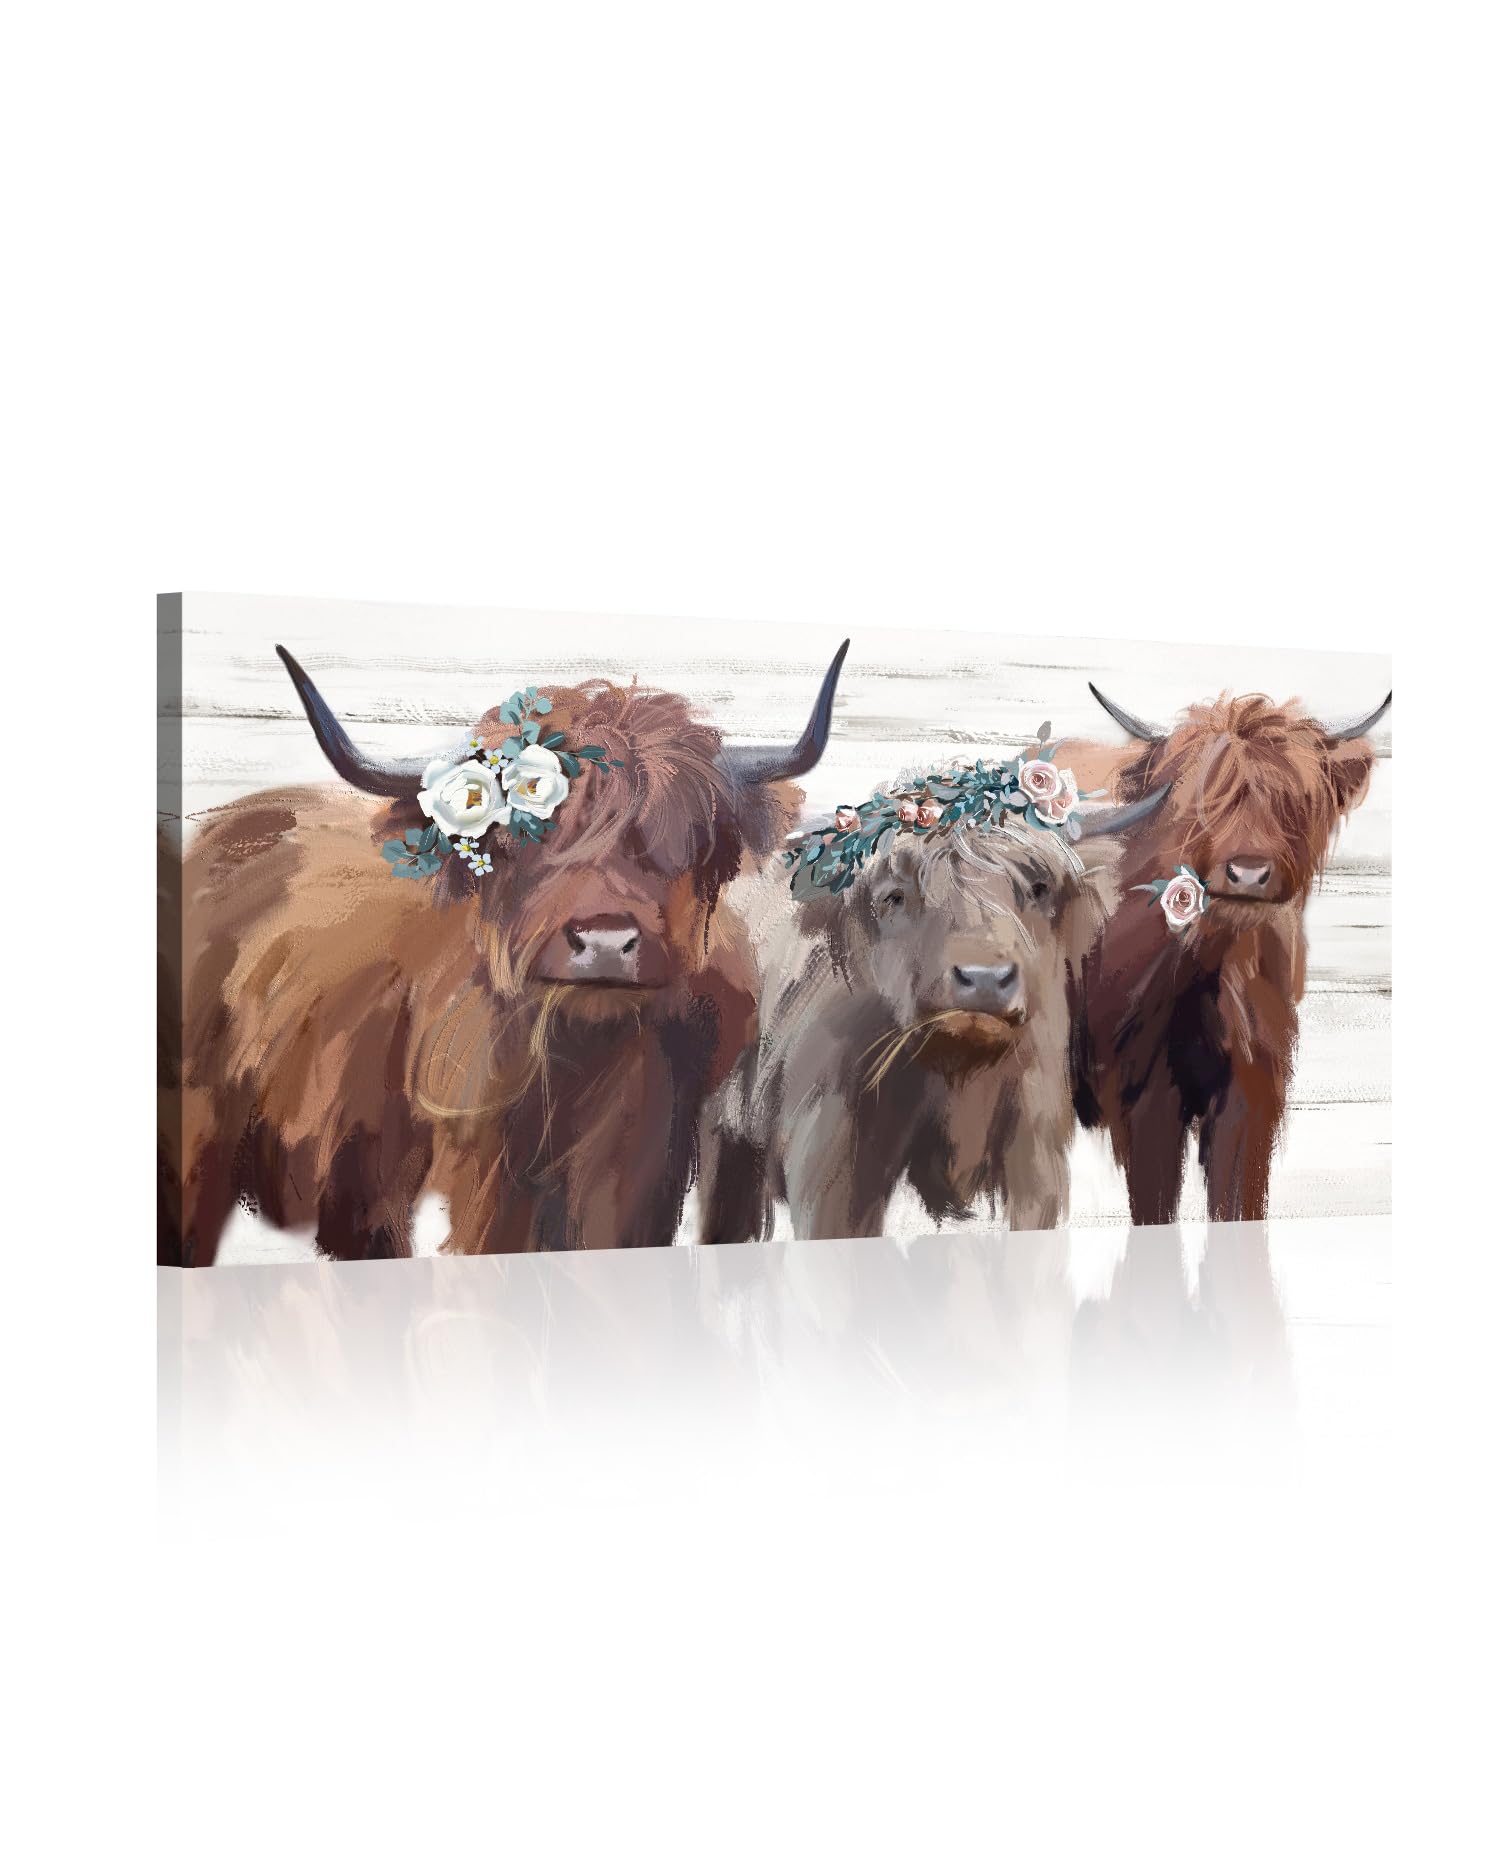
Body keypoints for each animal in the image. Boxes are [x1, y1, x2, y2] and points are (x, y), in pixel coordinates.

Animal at [160, 639, 848, 1263]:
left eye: (678, 839)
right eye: (522, 838)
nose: (604, 942)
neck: (573, 1079)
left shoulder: (640, 1184)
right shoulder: (482, 1194)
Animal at [697, 770, 1168, 1242]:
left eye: (1038, 887)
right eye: (895, 896)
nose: (984, 979)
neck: (958, 1072)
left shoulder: (1035, 1145)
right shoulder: (829, 1161)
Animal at [1060, 684, 1390, 1225]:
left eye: (1291, 799)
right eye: (1205, 800)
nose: (1248, 873)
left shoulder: (1252, 1095)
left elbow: (1239, 1206)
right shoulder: (1146, 1097)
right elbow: (1155, 1209)